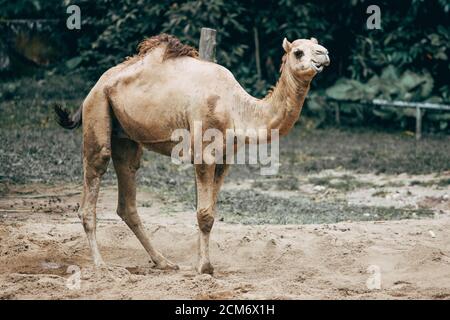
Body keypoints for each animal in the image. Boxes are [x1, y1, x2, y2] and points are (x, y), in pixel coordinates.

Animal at [55, 32, 330, 274]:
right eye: (298, 51)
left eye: (317, 45)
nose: (324, 54)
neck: (236, 108)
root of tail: (97, 85)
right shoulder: (203, 151)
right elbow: (205, 214)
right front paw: (205, 268)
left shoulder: (225, 158)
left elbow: (209, 211)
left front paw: (201, 264)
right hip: (98, 108)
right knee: (94, 174)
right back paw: (102, 265)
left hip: (125, 135)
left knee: (127, 195)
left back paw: (163, 262)